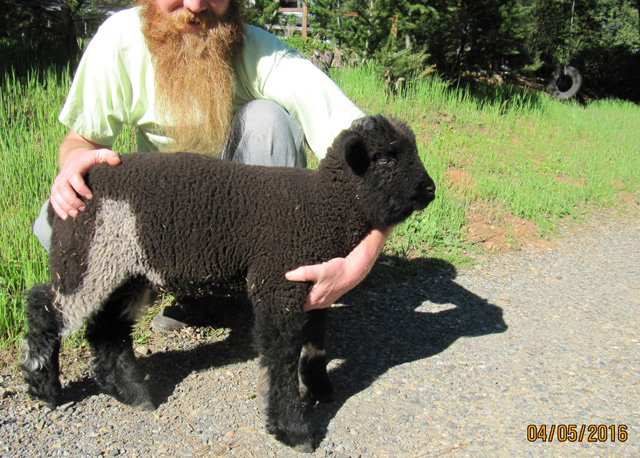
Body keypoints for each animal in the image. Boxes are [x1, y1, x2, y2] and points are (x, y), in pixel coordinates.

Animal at [23, 114, 436, 450]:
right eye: (386, 158)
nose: (430, 190)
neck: (322, 206)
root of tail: (71, 187)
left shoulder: (316, 289)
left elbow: (315, 345)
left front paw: (320, 389)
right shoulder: (277, 284)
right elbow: (281, 359)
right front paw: (293, 430)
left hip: (125, 268)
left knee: (106, 327)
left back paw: (130, 393)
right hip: (88, 259)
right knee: (45, 307)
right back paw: (44, 387)